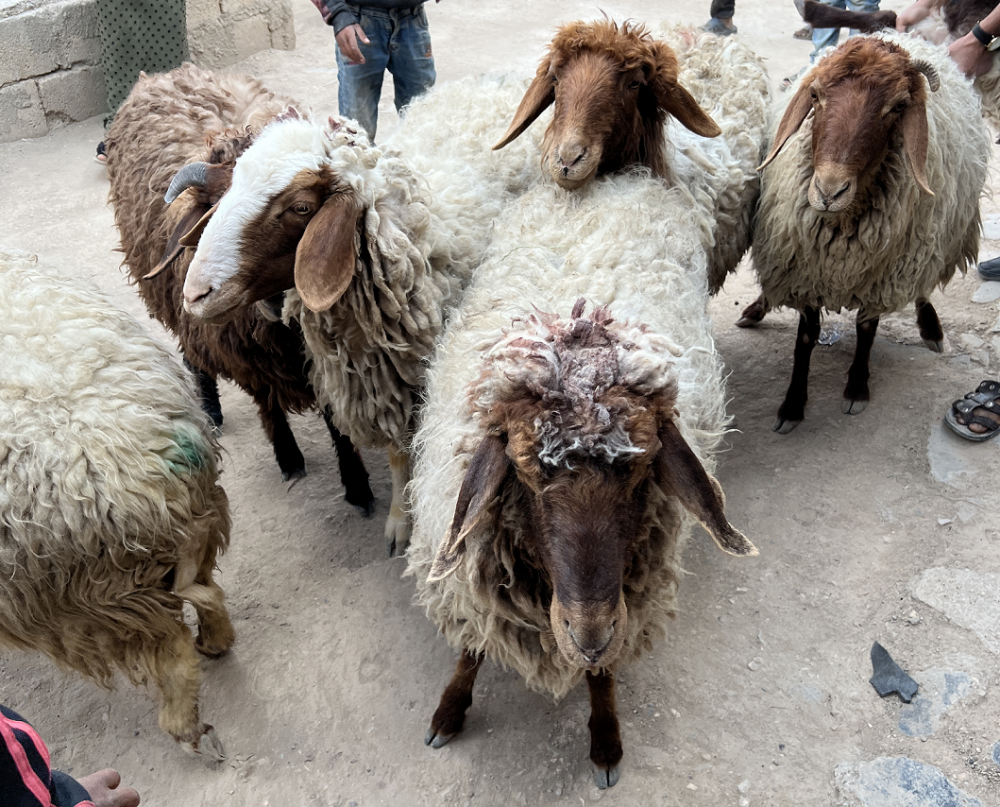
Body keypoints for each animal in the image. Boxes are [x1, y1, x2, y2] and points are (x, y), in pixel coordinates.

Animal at [0, 248, 233, 760]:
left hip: (102, 599)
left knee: (175, 657)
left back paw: (186, 729)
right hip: (185, 547)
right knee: (210, 594)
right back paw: (216, 641)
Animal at [104, 64, 375, 518]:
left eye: (303, 208)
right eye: (214, 207)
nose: (201, 290)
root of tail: (162, 74)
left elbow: (336, 421)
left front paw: (357, 486)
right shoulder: (243, 353)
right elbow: (266, 403)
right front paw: (289, 459)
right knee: (193, 354)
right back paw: (210, 408)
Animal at [177, 74, 542, 555]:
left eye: (300, 207)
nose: (195, 294)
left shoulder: (409, 381)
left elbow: (406, 450)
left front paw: (402, 521)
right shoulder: (381, 382)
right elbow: (395, 453)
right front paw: (398, 518)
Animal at [406, 169, 757, 789]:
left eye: (641, 472)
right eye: (524, 474)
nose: (588, 635)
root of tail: (619, 179)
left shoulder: (627, 602)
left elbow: (603, 676)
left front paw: (606, 740)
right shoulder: (474, 581)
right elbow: (472, 645)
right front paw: (450, 709)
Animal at [751, 32, 990, 433]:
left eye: (898, 107)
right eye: (814, 95)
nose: (829, 191)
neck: (840, 228)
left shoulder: (881, 275)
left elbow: (866, 330)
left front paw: (856, 388)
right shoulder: (804, 269)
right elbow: (806, 337)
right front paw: (793, 405)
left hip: (932, 240)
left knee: (923, 285)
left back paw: (931, 329)